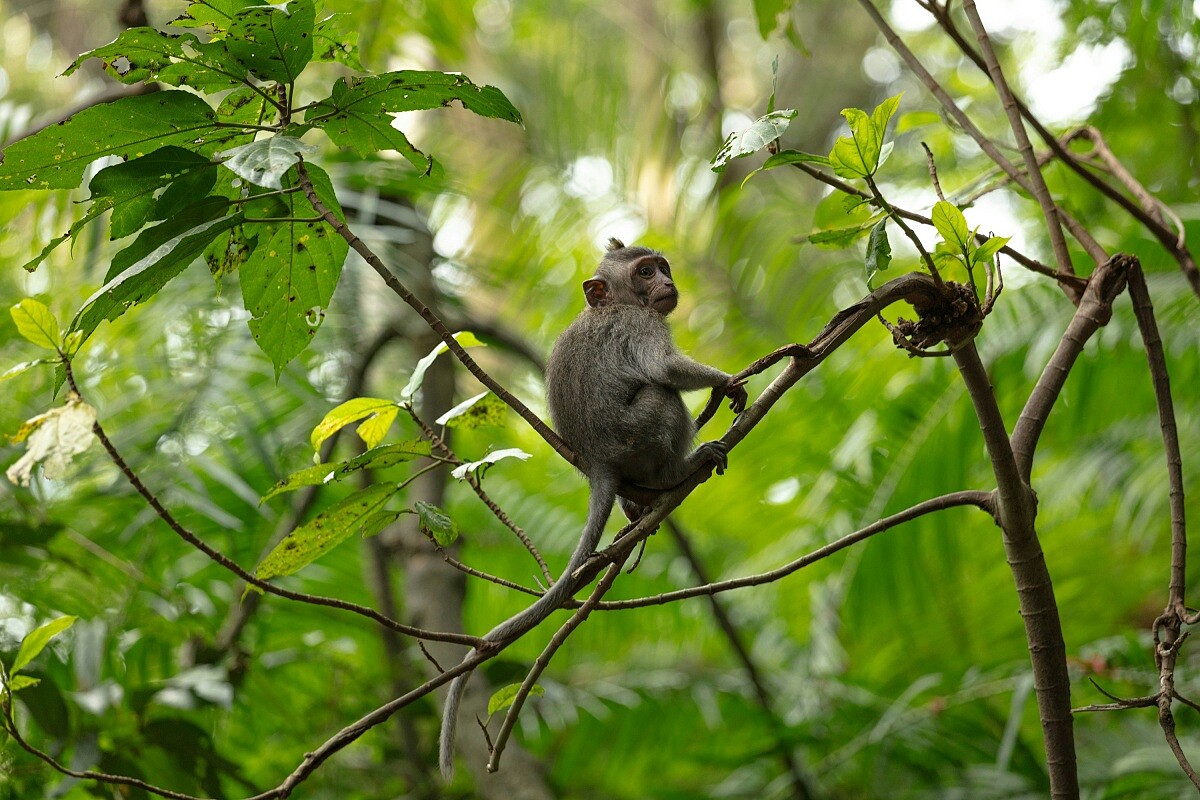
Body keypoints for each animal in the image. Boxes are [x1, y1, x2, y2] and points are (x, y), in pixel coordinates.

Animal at [438, 239, 747, 778]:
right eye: (645, 272)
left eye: (662, 267)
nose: (668, 282)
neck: (610, 305)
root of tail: (600, 462)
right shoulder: (638, 323)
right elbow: (664, 369)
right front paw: (726, 382)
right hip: (636, 437)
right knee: (661, 396)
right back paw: (676, 473)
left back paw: (638, 503)